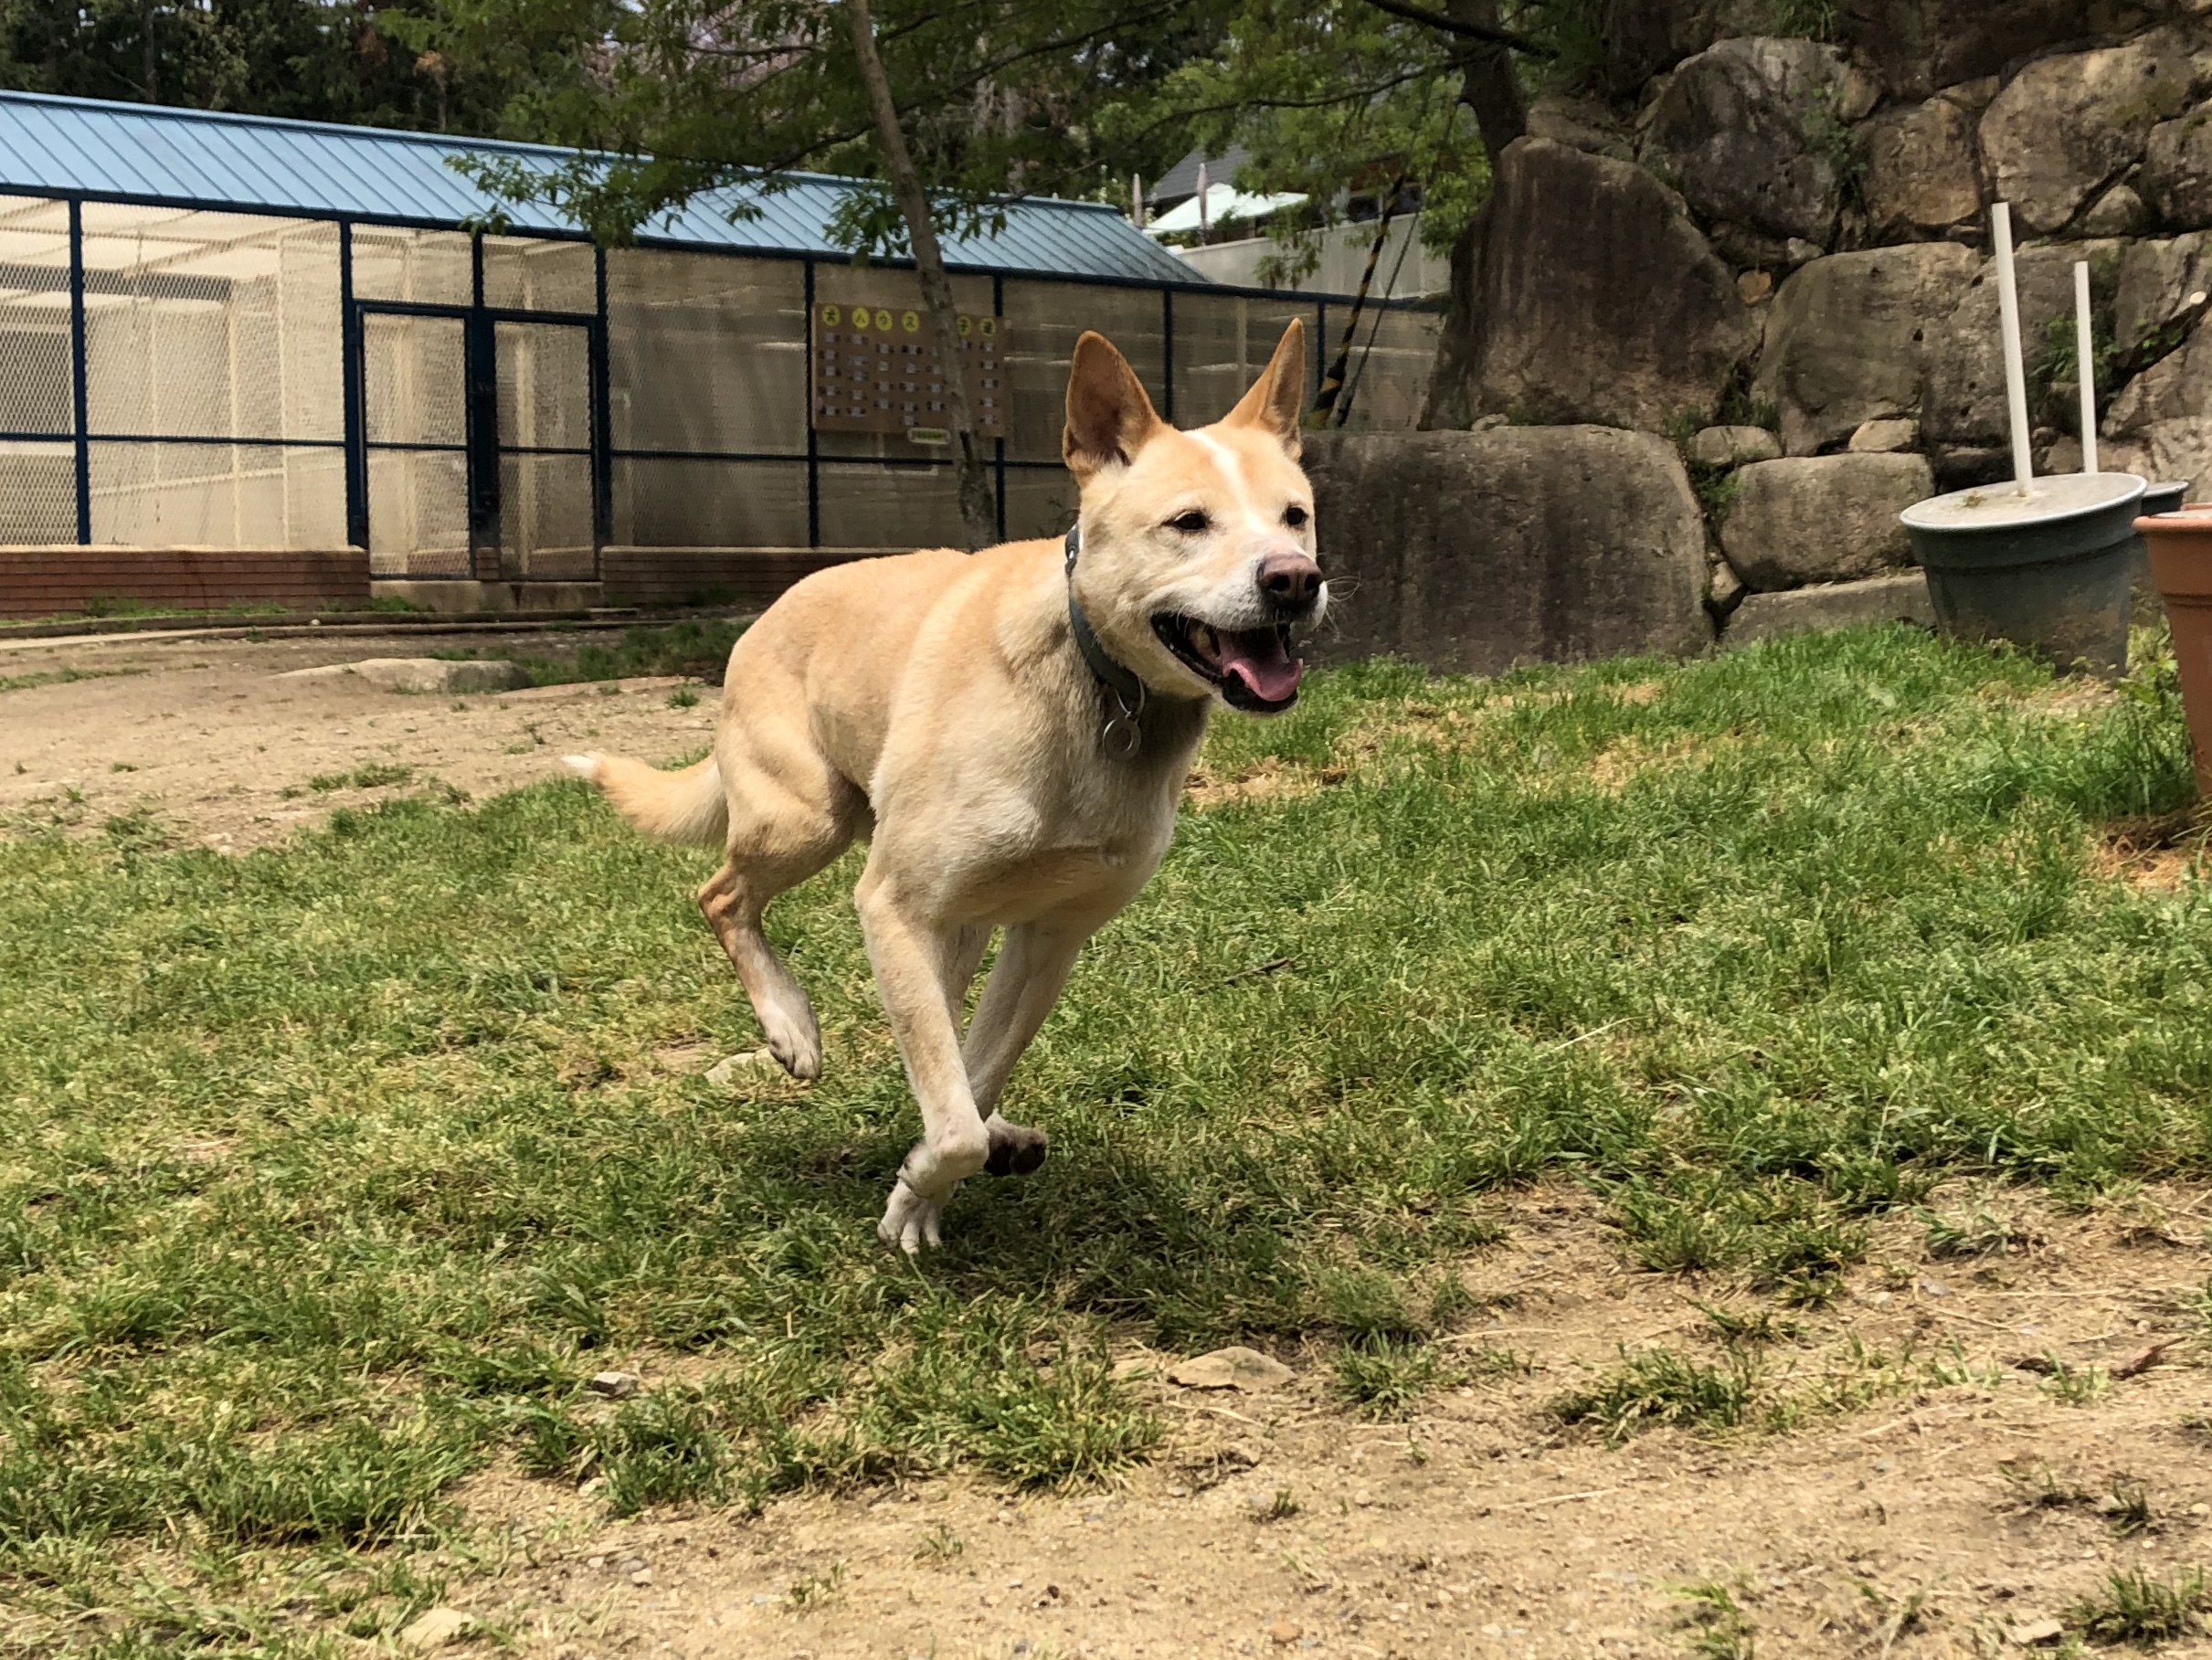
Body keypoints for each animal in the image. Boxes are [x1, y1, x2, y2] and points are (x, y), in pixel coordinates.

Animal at [570, 318, 1327, 1255]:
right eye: (1187, 522)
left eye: (1296, 516)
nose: (1294, 579)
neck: (1097, 688)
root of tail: (763, 615)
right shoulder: (893, 905)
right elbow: (954, 1114)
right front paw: (924, 1184)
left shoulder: (1049, 937)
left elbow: (971, 1073)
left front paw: (932, 1174)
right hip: (806, 820)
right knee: (720, 894)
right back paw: (789, 1024)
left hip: (950, 919)